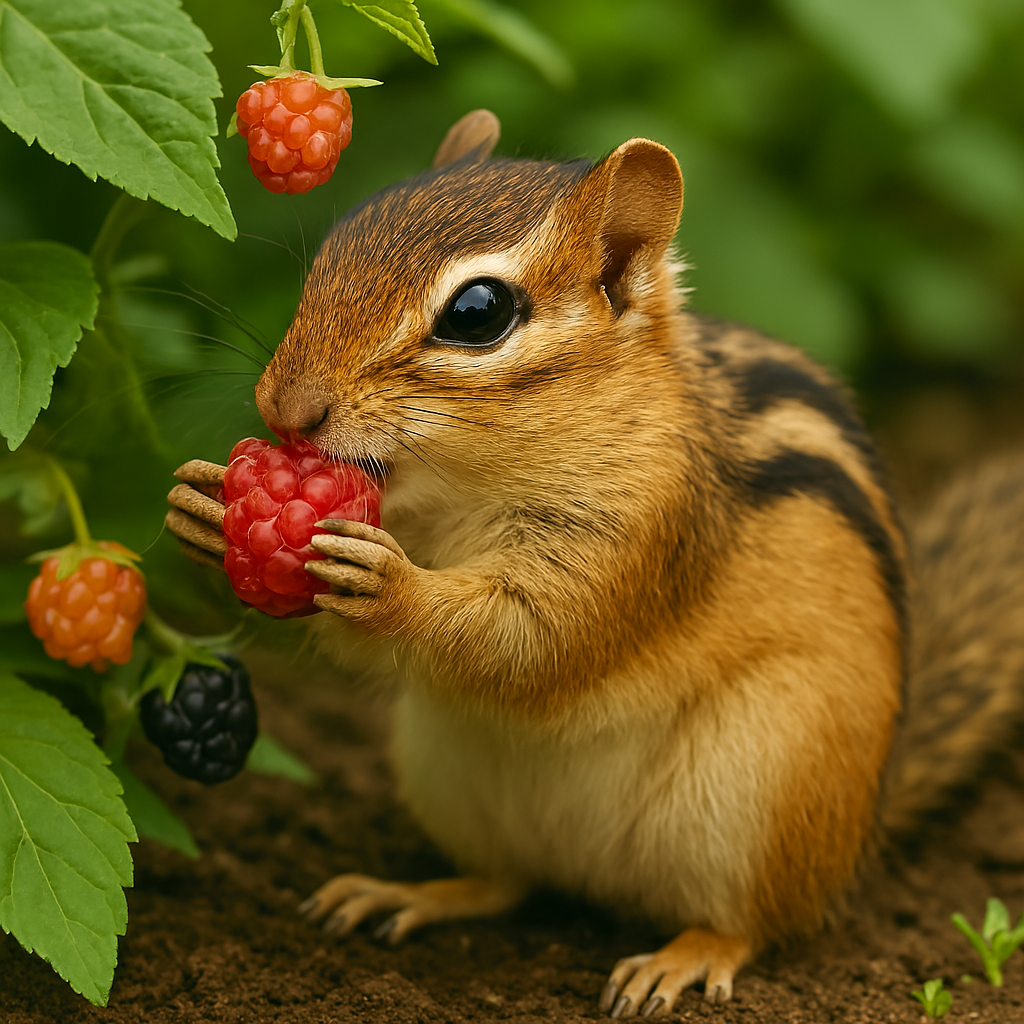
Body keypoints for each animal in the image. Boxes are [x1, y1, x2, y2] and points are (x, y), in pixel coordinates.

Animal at [165, 110, 1024, 1018]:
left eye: (477, 313)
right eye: (332, 253)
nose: (282, 408)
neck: (459, 500)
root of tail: (863, 826)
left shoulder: (644, 533)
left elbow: (539, 639)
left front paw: (393, 586)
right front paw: (203, 509)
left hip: (765, 791)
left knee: (753, 924)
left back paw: (677, 959)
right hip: (446, 771)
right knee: (506, 882)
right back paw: (407, 894)